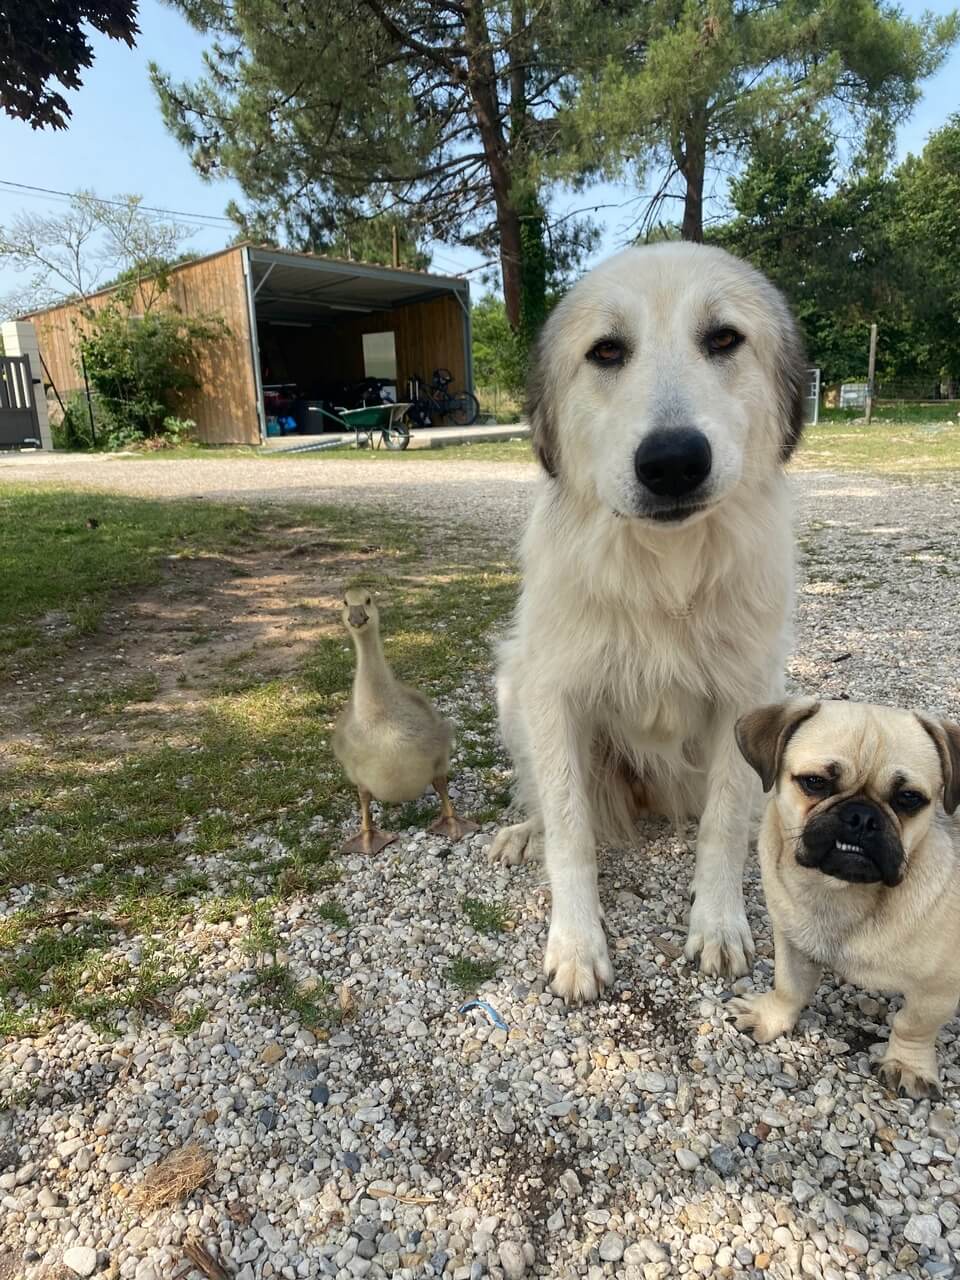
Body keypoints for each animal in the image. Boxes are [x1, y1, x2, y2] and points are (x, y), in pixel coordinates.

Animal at [491, 240, 808, 998]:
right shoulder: (551, 693)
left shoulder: (745, 700)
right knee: (544, 801)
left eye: (723, 339)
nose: (672, 462)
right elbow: (571, 831)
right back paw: (524, 832)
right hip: (511, 686)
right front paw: (577, 942)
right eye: (607, 351)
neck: (665, 572)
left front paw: (718, 924)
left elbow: (722, 824)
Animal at [732, 696, 957, 1095]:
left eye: (909, 799)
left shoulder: (940, 988)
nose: (862, 816)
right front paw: (770, 1016)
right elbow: (789, 986)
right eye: (814, 782)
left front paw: (908, 1064)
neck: (838, 892)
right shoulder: (792, 940)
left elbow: (912, 1024)